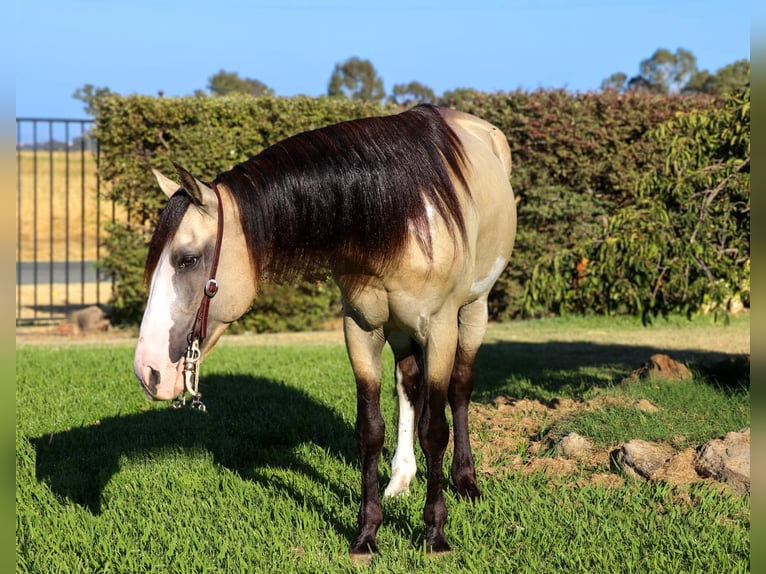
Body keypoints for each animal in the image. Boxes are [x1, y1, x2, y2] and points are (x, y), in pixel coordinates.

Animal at [134, 103, 516, 560]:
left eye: (188, 259)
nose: (148, 371)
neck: (401, 218)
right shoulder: (361, 328)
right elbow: (370, 431)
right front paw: (367, 534)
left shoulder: (440, 328)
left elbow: (435, 430)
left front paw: (435, 535)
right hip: (401, 329)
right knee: (409, 385)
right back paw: (401, 479)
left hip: (474, 311)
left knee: (459, 389)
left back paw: (466, 481)